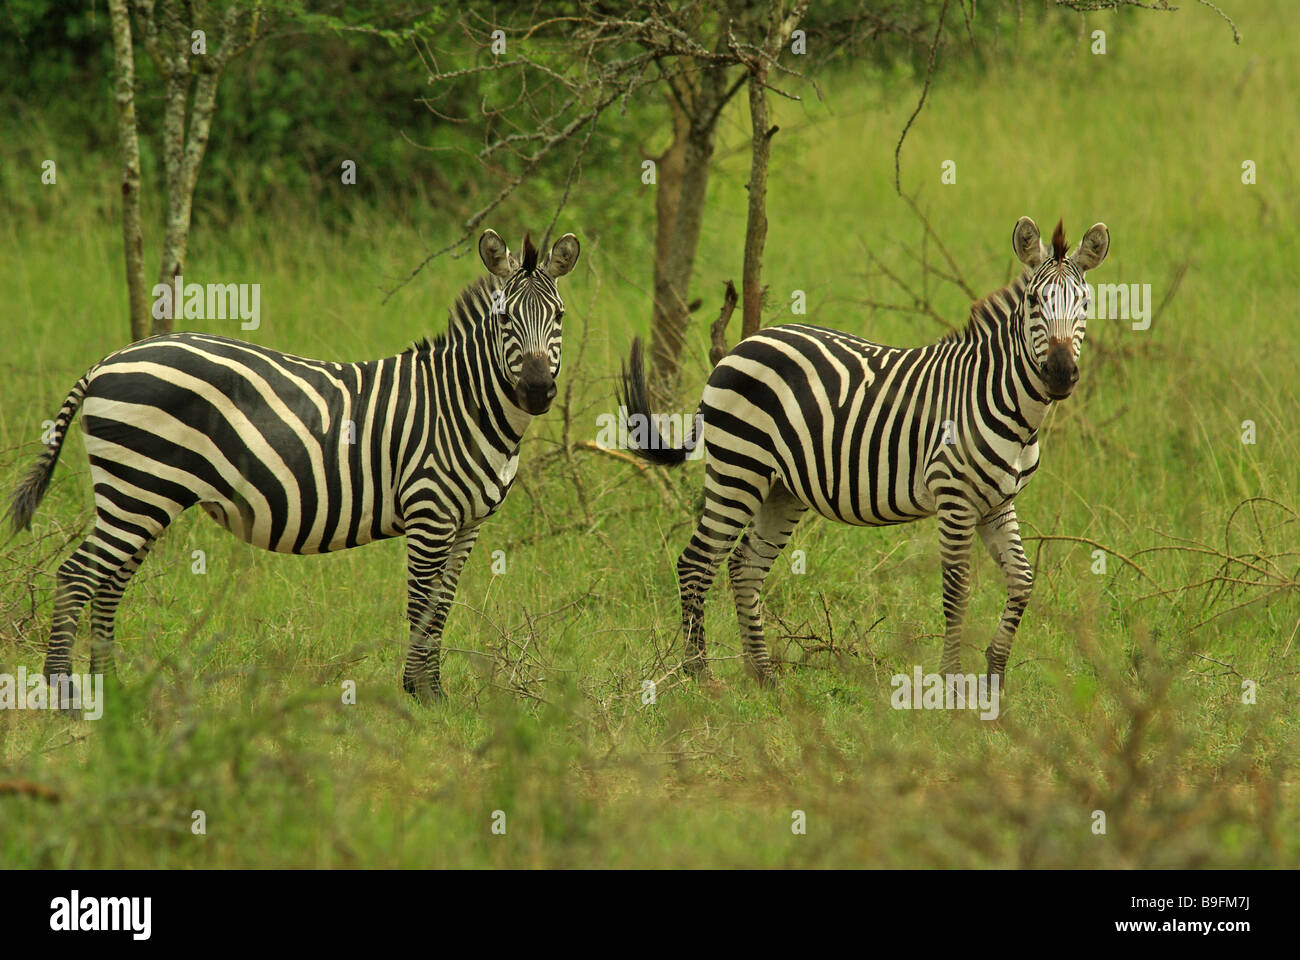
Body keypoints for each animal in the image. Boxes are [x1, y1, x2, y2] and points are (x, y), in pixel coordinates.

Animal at [7, 227, 582, 697]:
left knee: (110, 579)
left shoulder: (468, 525)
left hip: (144, 493)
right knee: (77, 575)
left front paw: (435, 695)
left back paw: (111, 690)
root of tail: (109, 359)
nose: (536, 391)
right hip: (137, 488)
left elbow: (441, 608)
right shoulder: (429, 513)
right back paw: (64, 695)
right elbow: (421, 606)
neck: (464, 404)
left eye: (558, 317)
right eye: (504, 319)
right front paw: (418, 698)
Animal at [618, 214, 1107, 686]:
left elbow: (1022, 582)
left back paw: (764, 677)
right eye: (1034, 303)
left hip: (780, 488)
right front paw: (952, 683)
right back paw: (699, 676)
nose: (1060, 374)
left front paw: (994, 678)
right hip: (739, 468)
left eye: (1084, 304)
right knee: (696, 562)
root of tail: (740, 346)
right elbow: (957, 588)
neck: (1004, 404)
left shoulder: (998, 504)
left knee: (744, 566)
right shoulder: (954, 499)